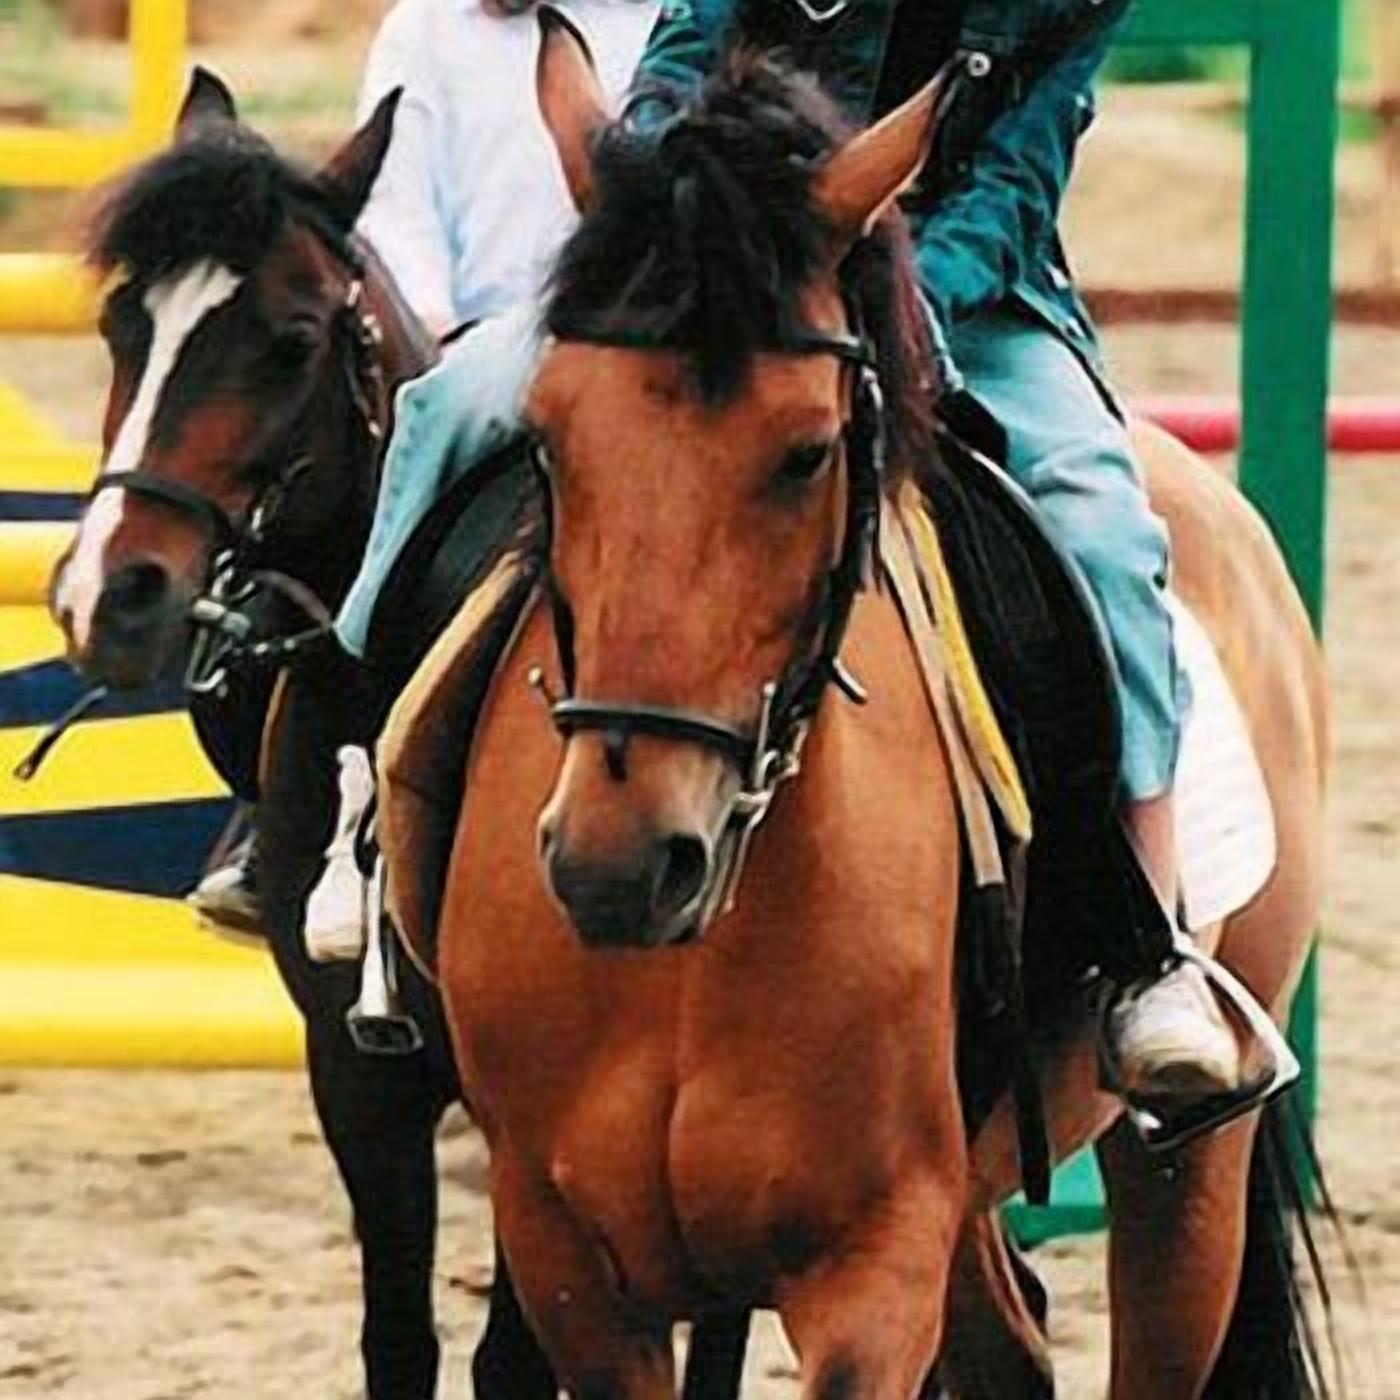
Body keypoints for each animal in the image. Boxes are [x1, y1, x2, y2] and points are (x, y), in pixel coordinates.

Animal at [401, 24, 1330, 1397]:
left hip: (1182, 1176)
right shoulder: (569, 1259)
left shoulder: (872, 1267)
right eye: (547, 437)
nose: (623, 864)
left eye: (804, 453)